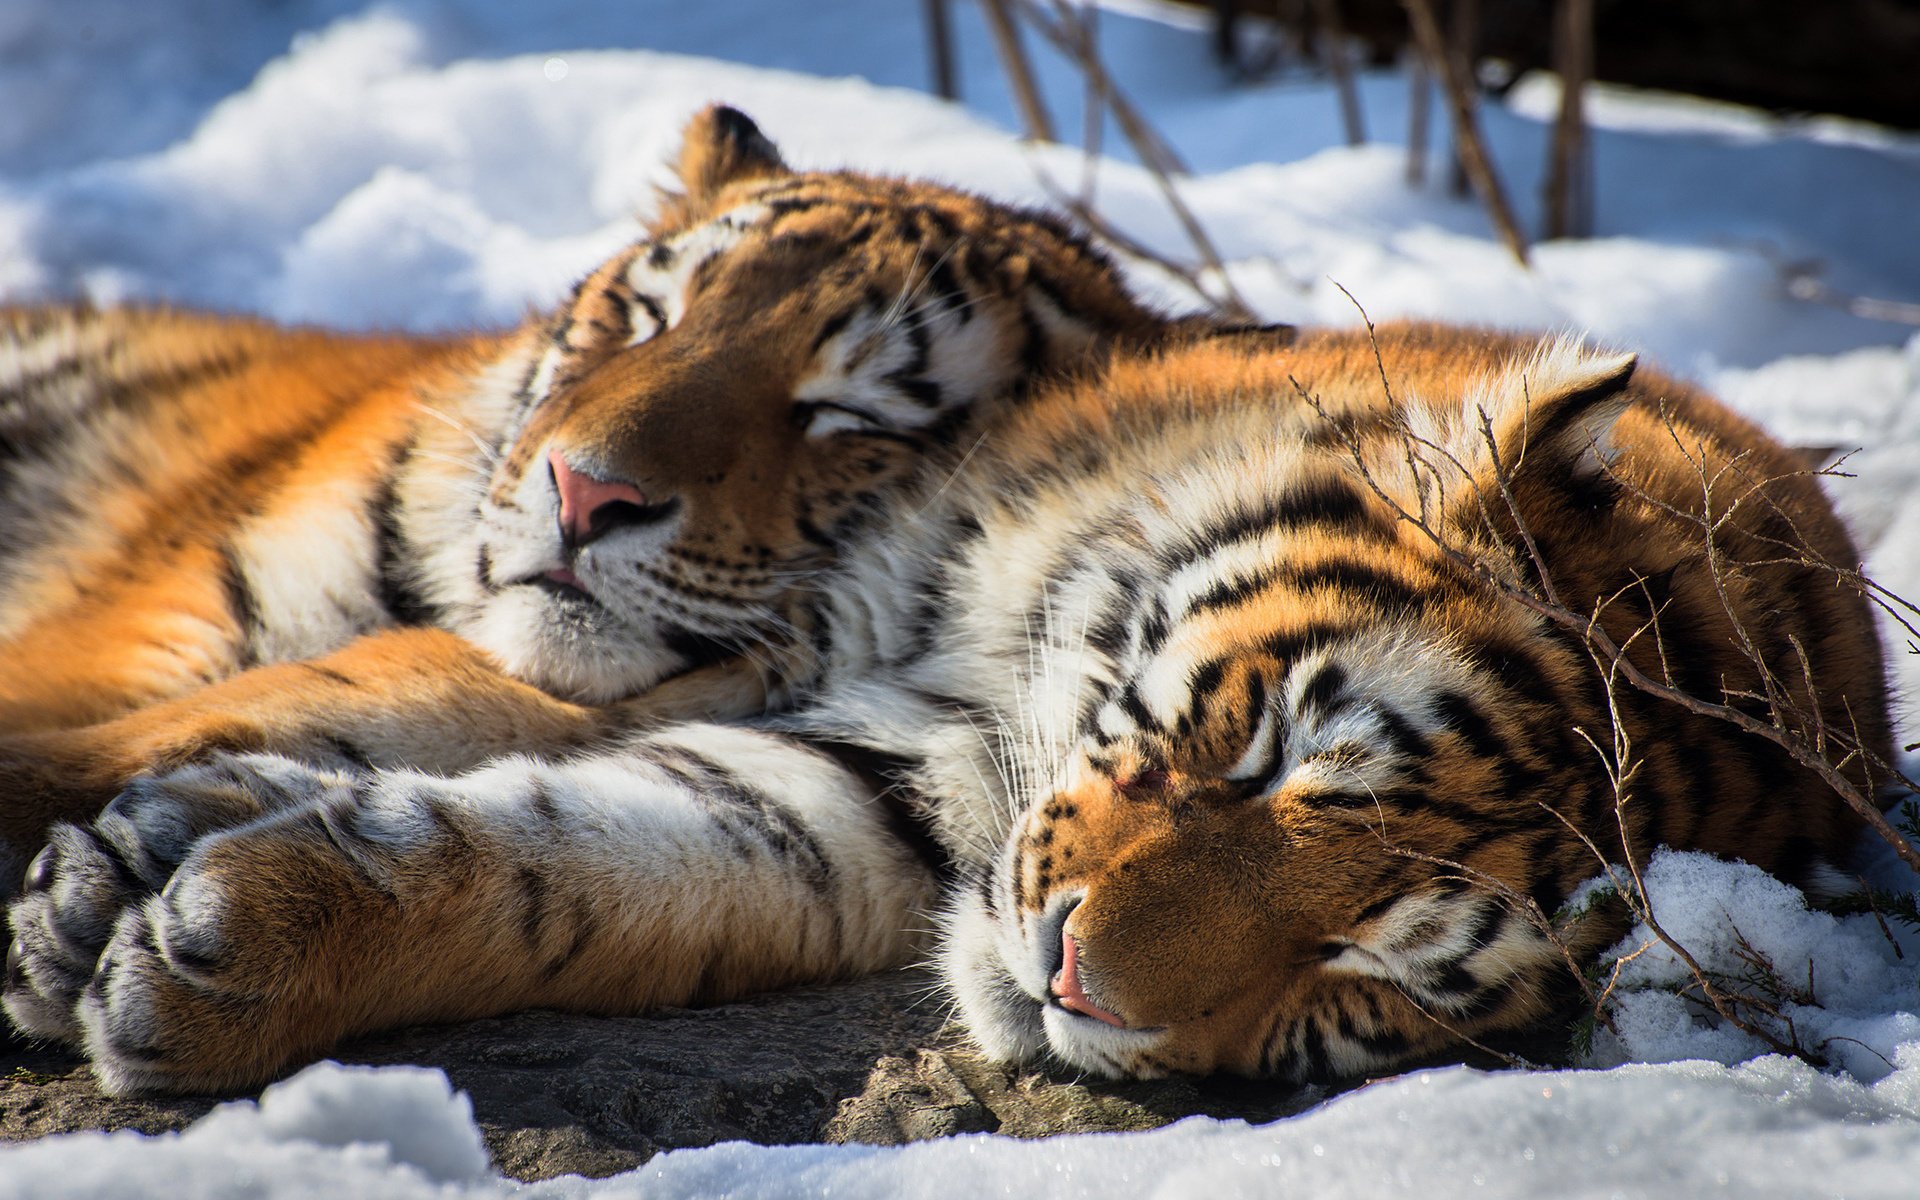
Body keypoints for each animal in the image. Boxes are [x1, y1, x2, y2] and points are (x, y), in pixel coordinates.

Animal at [6, 296, 1888, 1093]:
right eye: (1270, 752)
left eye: (1370, 982)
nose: (1071, 981)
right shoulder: (786, 639)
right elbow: (362, 701)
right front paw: (116, 850)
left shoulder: (868, 802)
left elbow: (572, 865)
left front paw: (211, 951)